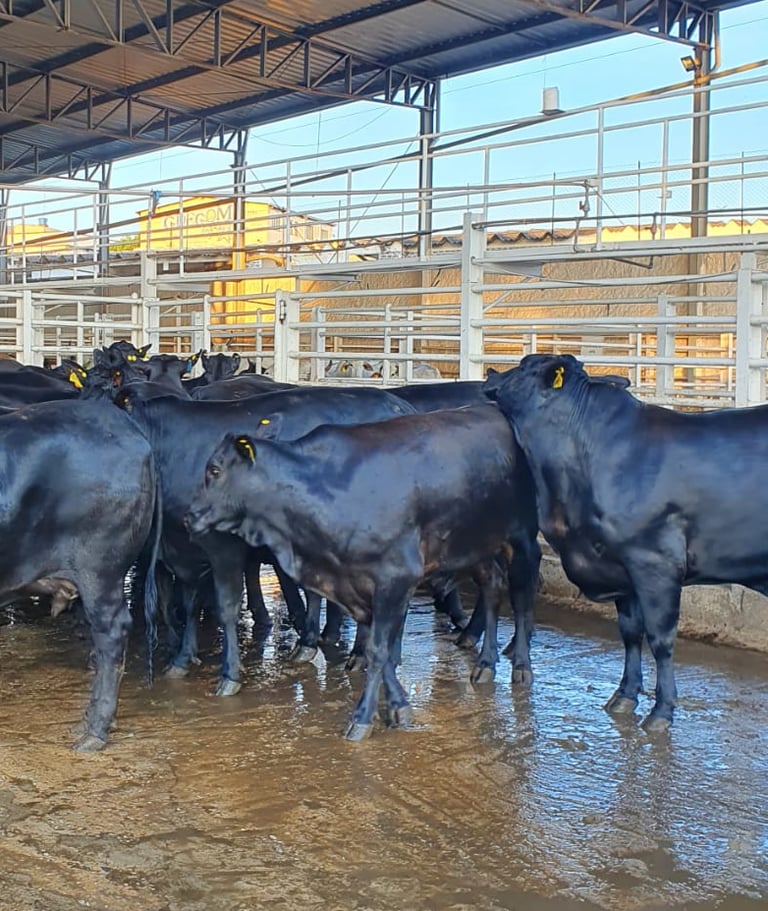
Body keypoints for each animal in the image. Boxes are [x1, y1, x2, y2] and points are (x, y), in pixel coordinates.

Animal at [185, 405, 540, 741]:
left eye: (214, 469)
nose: (189, 516)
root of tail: (492, 410)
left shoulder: (396, 577)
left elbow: (379, 650)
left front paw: (362, 719)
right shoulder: (356, 585)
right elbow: (376, 650)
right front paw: (398, 706)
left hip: (521, 535)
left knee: (522, 595)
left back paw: (521, 664)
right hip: (475, 545)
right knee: (492, 586)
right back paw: (485, 663)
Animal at [483, 353, 768, 731]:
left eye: (524, 365)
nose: (490, 374)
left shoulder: (655, 562)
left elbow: (660, 639)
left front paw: (661, 711)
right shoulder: (620, 569)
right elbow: (631, 633)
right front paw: (624, 696)